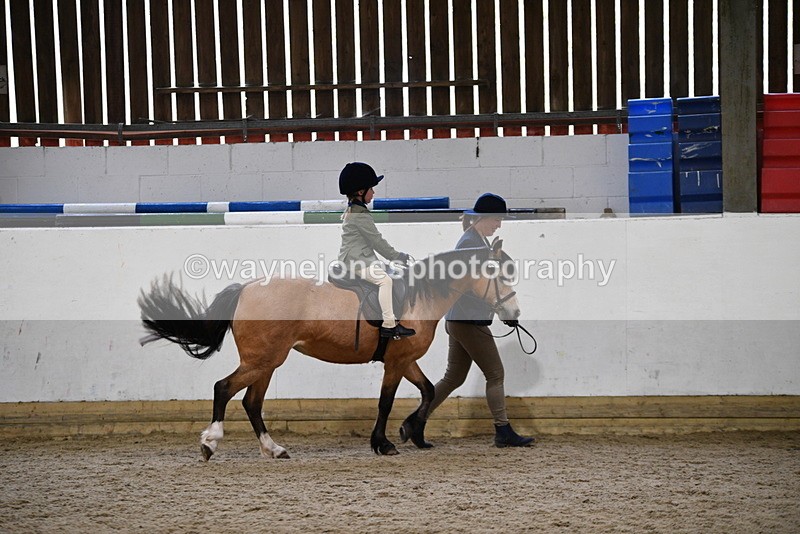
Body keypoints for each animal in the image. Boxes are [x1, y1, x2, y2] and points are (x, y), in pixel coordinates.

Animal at [138, 240, 521, 460]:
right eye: (502, 276)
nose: (514, 315)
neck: (416, 298)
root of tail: (246, 289)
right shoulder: (396, 362)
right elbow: (386, 402)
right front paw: (384, 443)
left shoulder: (404, 360)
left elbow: (427, 391)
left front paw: (412, 433)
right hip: (261, 360)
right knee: (224, 389)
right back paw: (211, 442)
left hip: (266, 363)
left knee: (251, 402)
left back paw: (273, 449)